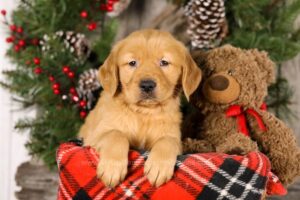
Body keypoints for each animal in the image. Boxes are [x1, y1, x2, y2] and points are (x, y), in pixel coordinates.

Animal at [79, 29, 202, 188]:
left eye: (164, 62)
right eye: (132, 63)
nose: (147, 85)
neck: (144, 112)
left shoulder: (174, 137)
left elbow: (167, 141)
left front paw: (158, 167)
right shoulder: (94, 137)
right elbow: (116, 134)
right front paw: (111, 168)